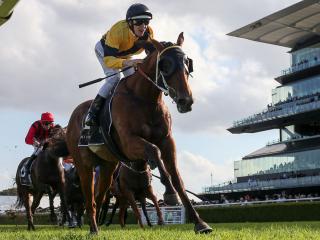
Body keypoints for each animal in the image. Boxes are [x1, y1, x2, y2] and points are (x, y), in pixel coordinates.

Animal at [65, 32, 212, 233]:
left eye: (187, 63)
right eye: (165, 64)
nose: (185, 100)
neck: (145, 99)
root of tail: (72, 118)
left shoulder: (167, 141)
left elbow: (177, 178)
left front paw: (200, 223)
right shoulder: (128, 142)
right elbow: (153, 151)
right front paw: (169, 193)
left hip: (108, 166)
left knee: (100, 196)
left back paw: (96, 226)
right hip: (83, 164)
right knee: (89, 198)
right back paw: (93, 229)